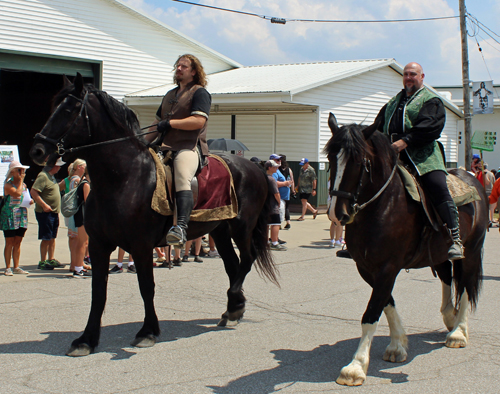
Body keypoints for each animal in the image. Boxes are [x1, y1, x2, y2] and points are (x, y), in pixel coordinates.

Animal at [29, 73, 280, 358]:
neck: (123, 178)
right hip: (220, 229)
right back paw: (233, 309)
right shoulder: (99, 245)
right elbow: (98, 291)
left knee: (247, 259)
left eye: (69, 109)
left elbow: (146, 287)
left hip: (241, 227)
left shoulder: (141, 245)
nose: (37, 150)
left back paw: (234, 303)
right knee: (232, 265)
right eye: (54, 107)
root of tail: (255, 167)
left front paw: (147, 332)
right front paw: (86, 339)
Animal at [322, 113, 486, 384]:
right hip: (438, 254)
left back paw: (458, 332)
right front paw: (397, 345)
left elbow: (371, 313)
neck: (382, 206)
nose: (338, 213)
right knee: (447, 277)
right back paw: (449, 317)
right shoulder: (367, 268)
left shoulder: (388, 268)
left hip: (471, 251)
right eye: (330, 158)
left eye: (360, 161)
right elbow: (386, 303)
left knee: (464, 284)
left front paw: (355, 367)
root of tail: (472, 177)